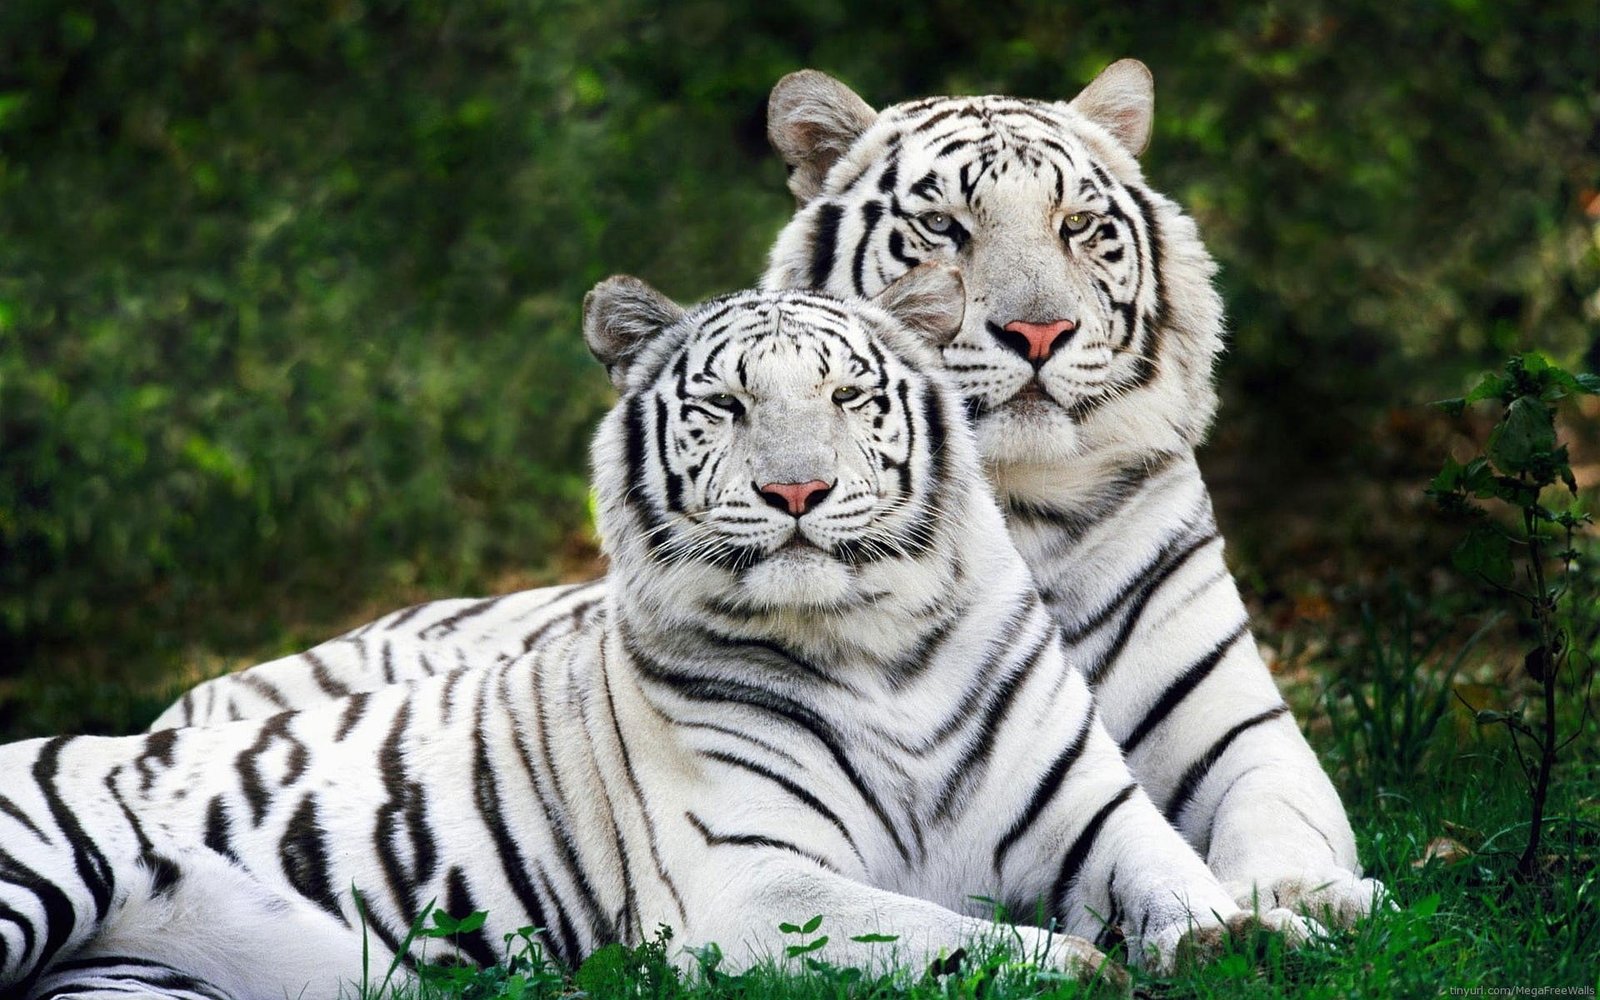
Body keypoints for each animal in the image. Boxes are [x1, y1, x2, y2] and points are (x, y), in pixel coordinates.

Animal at [1, 273, 1314, 999]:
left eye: (848, 396)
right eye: (724, 405)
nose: (796, 491)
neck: (877, 647)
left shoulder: (1094, 815)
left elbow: (1180, 880)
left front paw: (1262, 932)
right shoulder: (746, 882)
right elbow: (953, 935)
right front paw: (1084, 966)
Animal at [150, 59, 1383, 924]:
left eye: (1079, 225)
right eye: (944, 228)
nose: (1037, 332)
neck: (1019, 507)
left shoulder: (1238, 727)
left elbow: (1281, 814)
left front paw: (1310, 899)